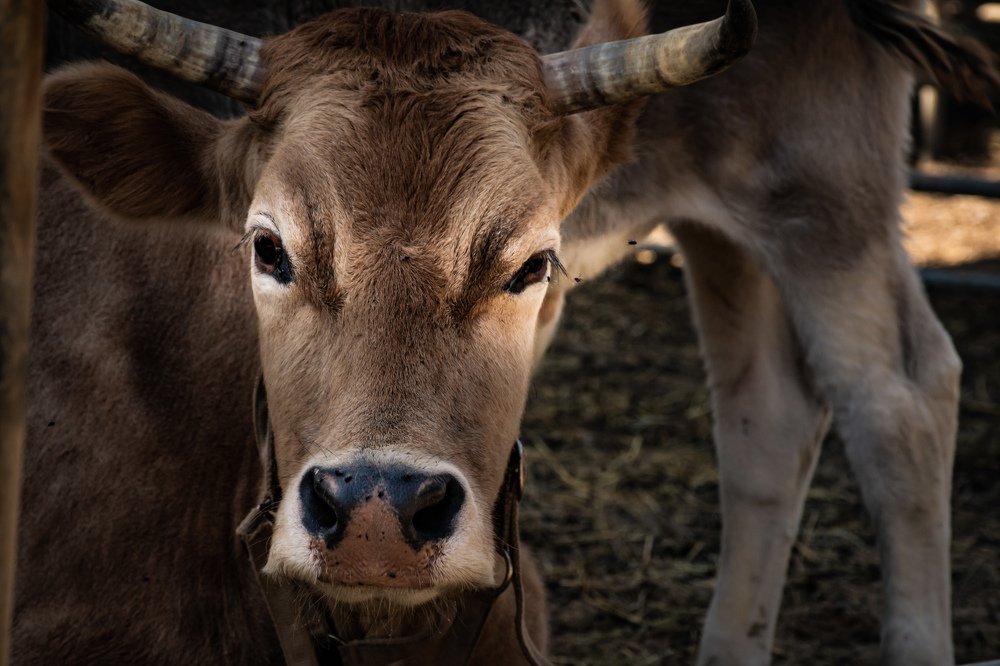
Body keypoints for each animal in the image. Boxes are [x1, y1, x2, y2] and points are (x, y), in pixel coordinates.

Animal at [14, 0, 995, 664]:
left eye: (534, 264)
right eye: (267, 247)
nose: (377, 515)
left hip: (818, 189)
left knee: (900, 396)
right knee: (769, 412)